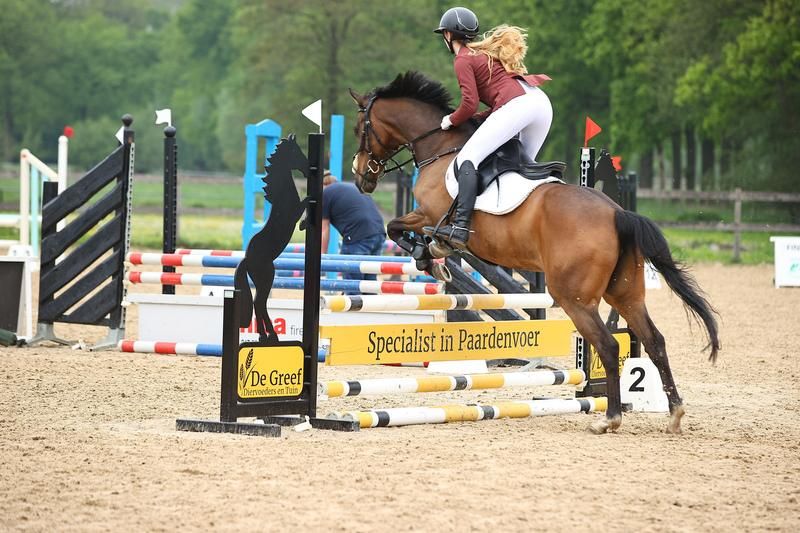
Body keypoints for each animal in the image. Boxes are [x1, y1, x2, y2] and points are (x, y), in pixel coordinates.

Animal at [235, 135, 310, 343]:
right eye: (295, 151)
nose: (308, 169)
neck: (282, 192)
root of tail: (247, 259)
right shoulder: (294, 211)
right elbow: (308, 200)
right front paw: (304, 224)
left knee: (259, 302)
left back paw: (264, 335)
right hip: (268, 275)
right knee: (259, 302)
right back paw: (270, 335)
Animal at [348, 71, 719, 435]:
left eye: (359, 128)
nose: (360, 177)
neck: (441, 147)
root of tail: (617, 212)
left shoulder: (428, 213)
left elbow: (396, 227)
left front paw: (430, 256)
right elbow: (398, 229)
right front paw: (432, 258)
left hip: (574, 298)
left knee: (609, 345)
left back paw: (610, 418)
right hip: (625, 293)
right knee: (654, 341)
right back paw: (674, 414)